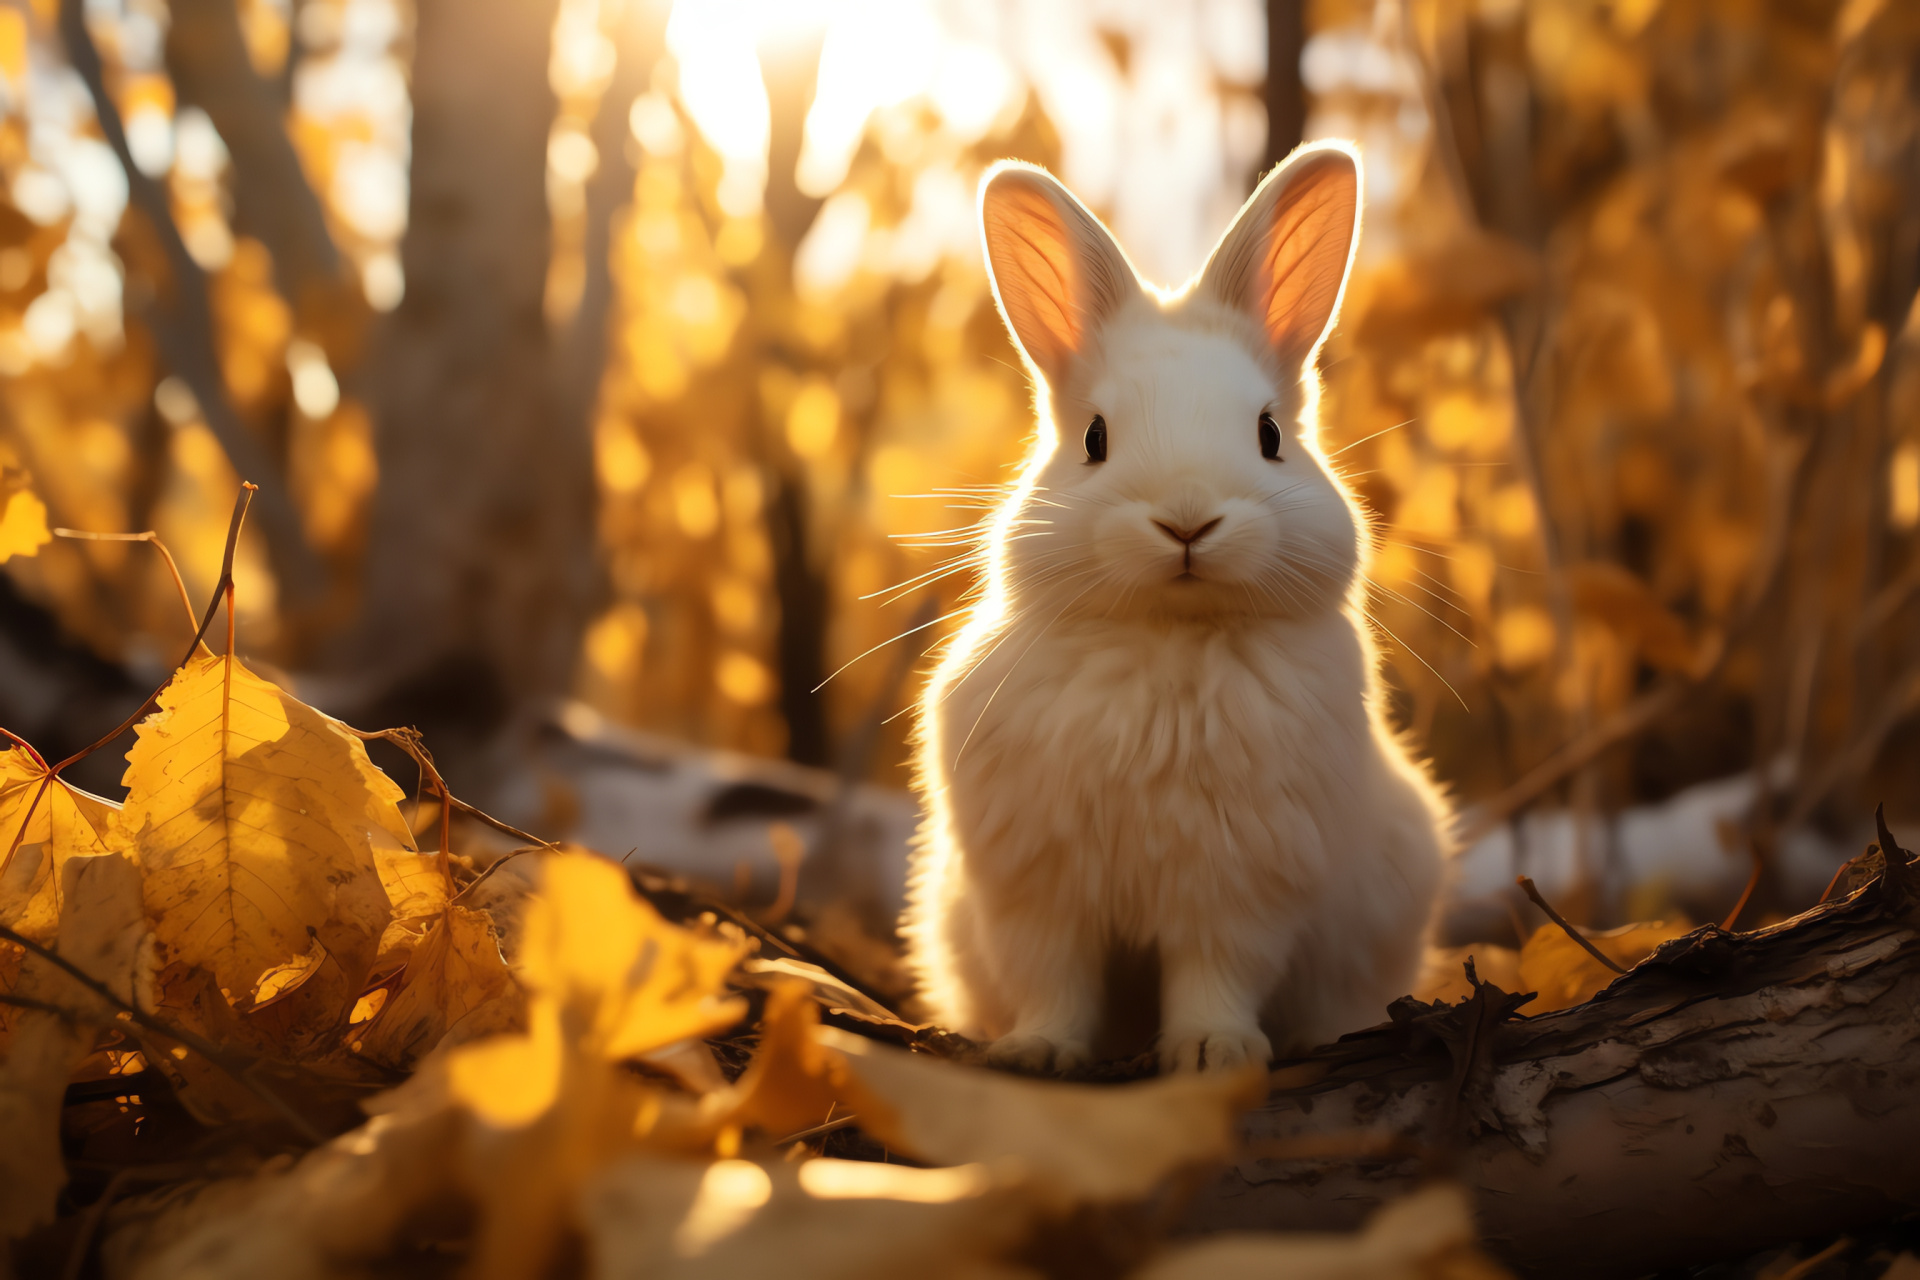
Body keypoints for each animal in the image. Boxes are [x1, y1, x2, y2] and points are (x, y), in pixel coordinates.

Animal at [898, 144, 1443, 1074]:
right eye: (1094, 439)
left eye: (1269, 435)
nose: (1188, 520)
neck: (1167, 637)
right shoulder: (1037, 889)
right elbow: (1055, 979)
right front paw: (1037, 1052)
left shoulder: (1238, 885)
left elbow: (1213, 970)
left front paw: (1211, 1052)